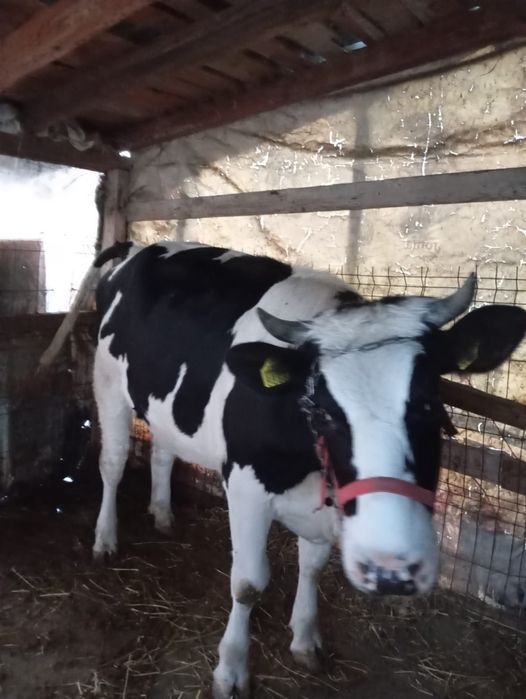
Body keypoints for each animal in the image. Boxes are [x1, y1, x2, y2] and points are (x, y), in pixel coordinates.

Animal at [92, 241, 526, 698]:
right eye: (322, 410)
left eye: (429, 402)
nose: (391, 572)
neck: (308, 463)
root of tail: (140, 247)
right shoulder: (245, 488)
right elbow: (247, 583)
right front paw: (231, 669)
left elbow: (313, 566)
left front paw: (304, 639)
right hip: (108, 384)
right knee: (113, 463)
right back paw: (105, 539)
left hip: (166, 407)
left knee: (162, 453)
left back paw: (162, 514)